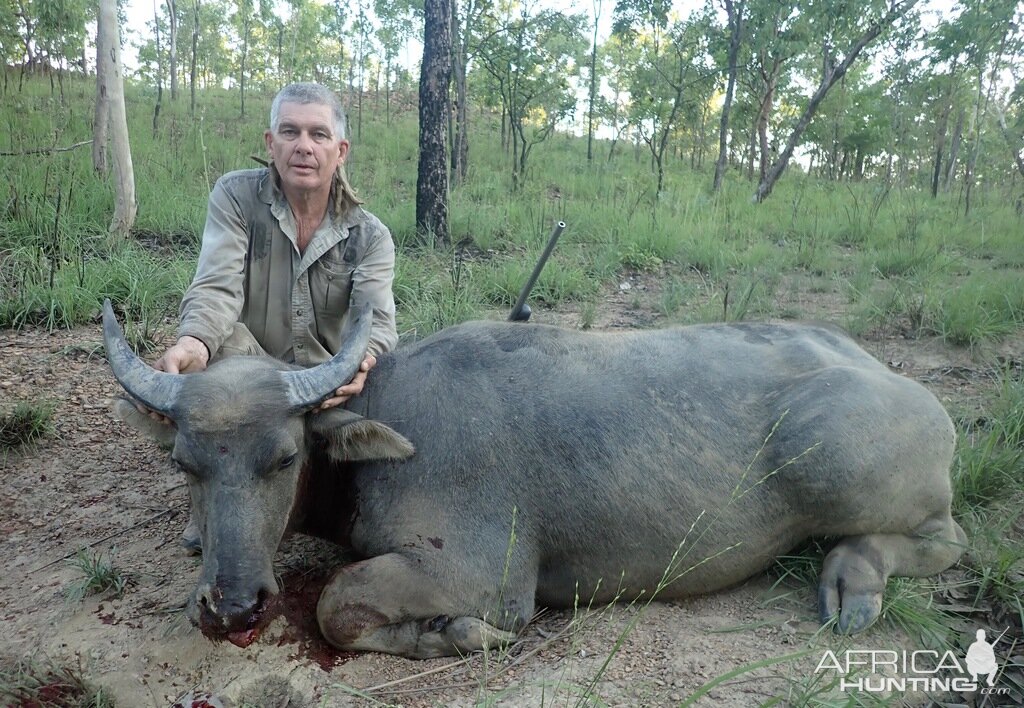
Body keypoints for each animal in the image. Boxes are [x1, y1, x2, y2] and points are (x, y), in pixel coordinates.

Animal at [103, 299, 966, 659]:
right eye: (184, 463)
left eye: (283, 458)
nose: (233, 608)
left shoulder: (485, 574)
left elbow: (339, 606)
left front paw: (454, 633)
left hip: (832, 460)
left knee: (944, 538)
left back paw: (854, 579)